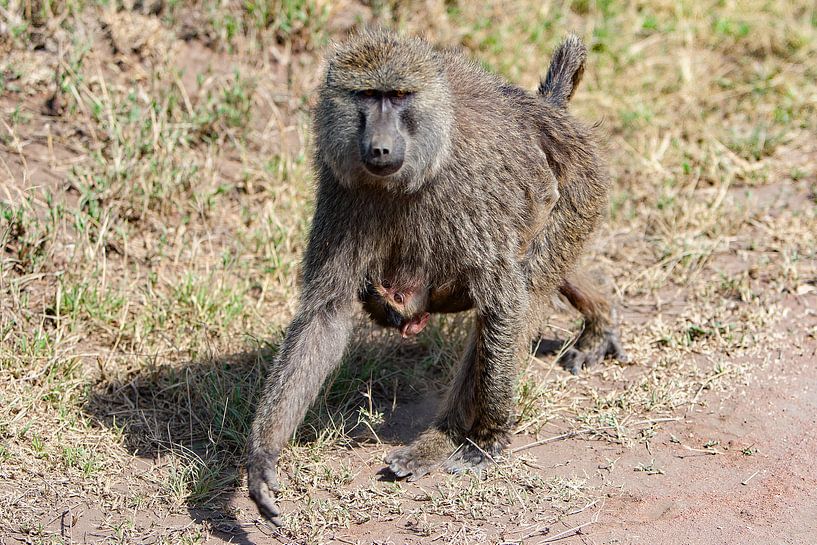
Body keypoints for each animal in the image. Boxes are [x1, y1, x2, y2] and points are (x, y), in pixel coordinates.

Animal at [246, 30, 625, 524]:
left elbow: (504, 301)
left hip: (579, 184)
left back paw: (448, 438)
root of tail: (548, 111)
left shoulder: (471, 191)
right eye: (366, 96)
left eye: (398, 96)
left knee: (522, 291)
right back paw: (599, 321)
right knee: (539, 273)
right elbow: (324, 316)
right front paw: (262, 458)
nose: (379, 148)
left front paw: (489, 438)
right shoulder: (341, 189)